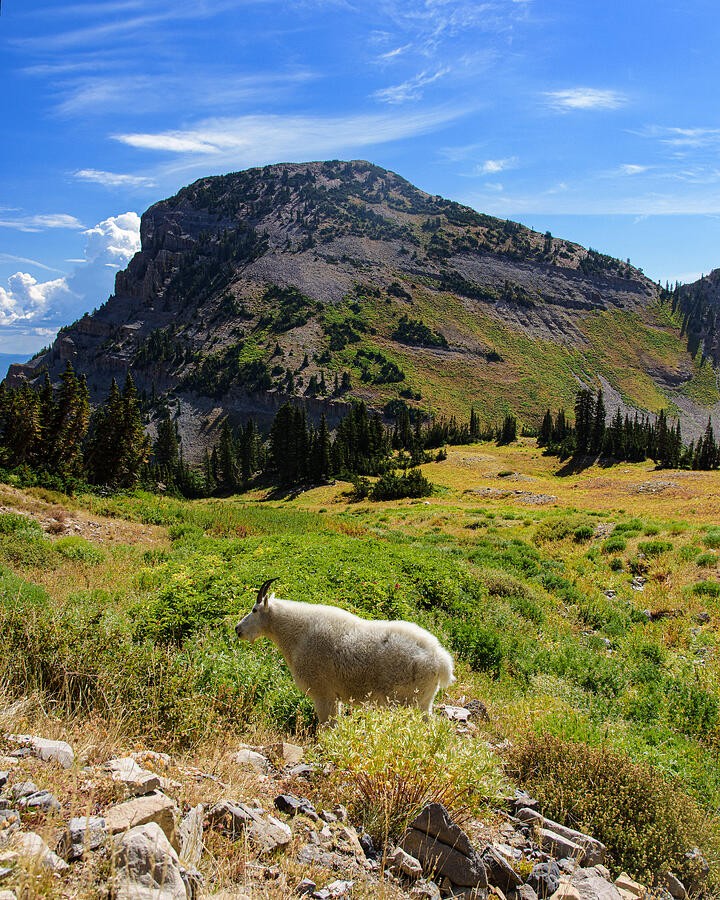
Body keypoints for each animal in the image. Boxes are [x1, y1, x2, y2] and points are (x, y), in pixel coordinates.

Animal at [235, 579, 455, 724]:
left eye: (254, 610)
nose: (238, 630)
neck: (296, 634)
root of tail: (442, 661)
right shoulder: (335, 696)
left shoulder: (323, 693)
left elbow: (327, 725)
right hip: (424, 701)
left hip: (408, 700)